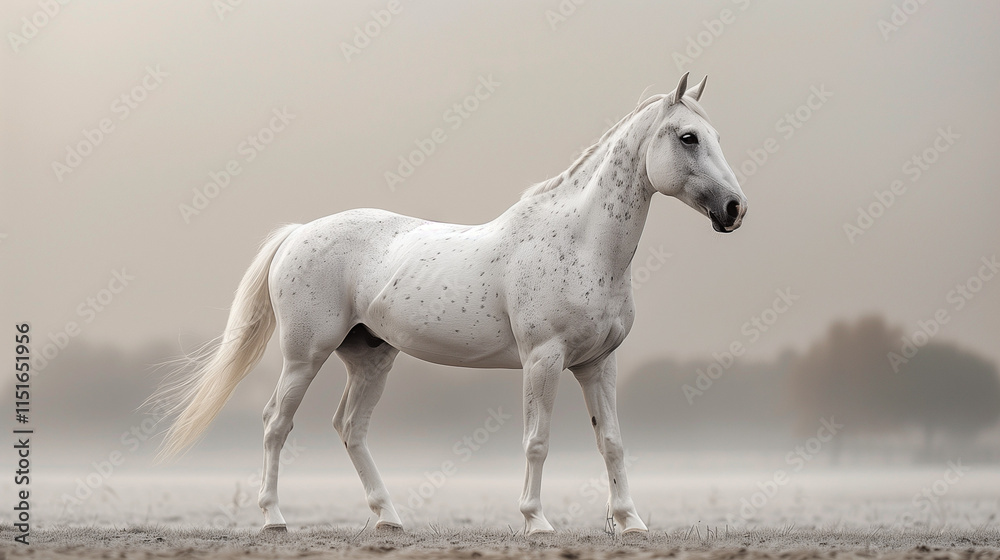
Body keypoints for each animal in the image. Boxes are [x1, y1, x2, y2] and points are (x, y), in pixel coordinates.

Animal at [152, 72, 747, 535]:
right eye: (688, 137)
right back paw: (274, 518)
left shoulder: (598, 364)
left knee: (351, 428)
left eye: (716, 136)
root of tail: (299, 233)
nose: (735, 208)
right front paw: (536, 521)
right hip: (305, 356)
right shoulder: (543, 359)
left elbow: (614, 444)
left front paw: (630, 522)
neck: (582, 244)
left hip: (371, 358)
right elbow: (538, 440)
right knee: (277, 422)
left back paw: (389, 518)